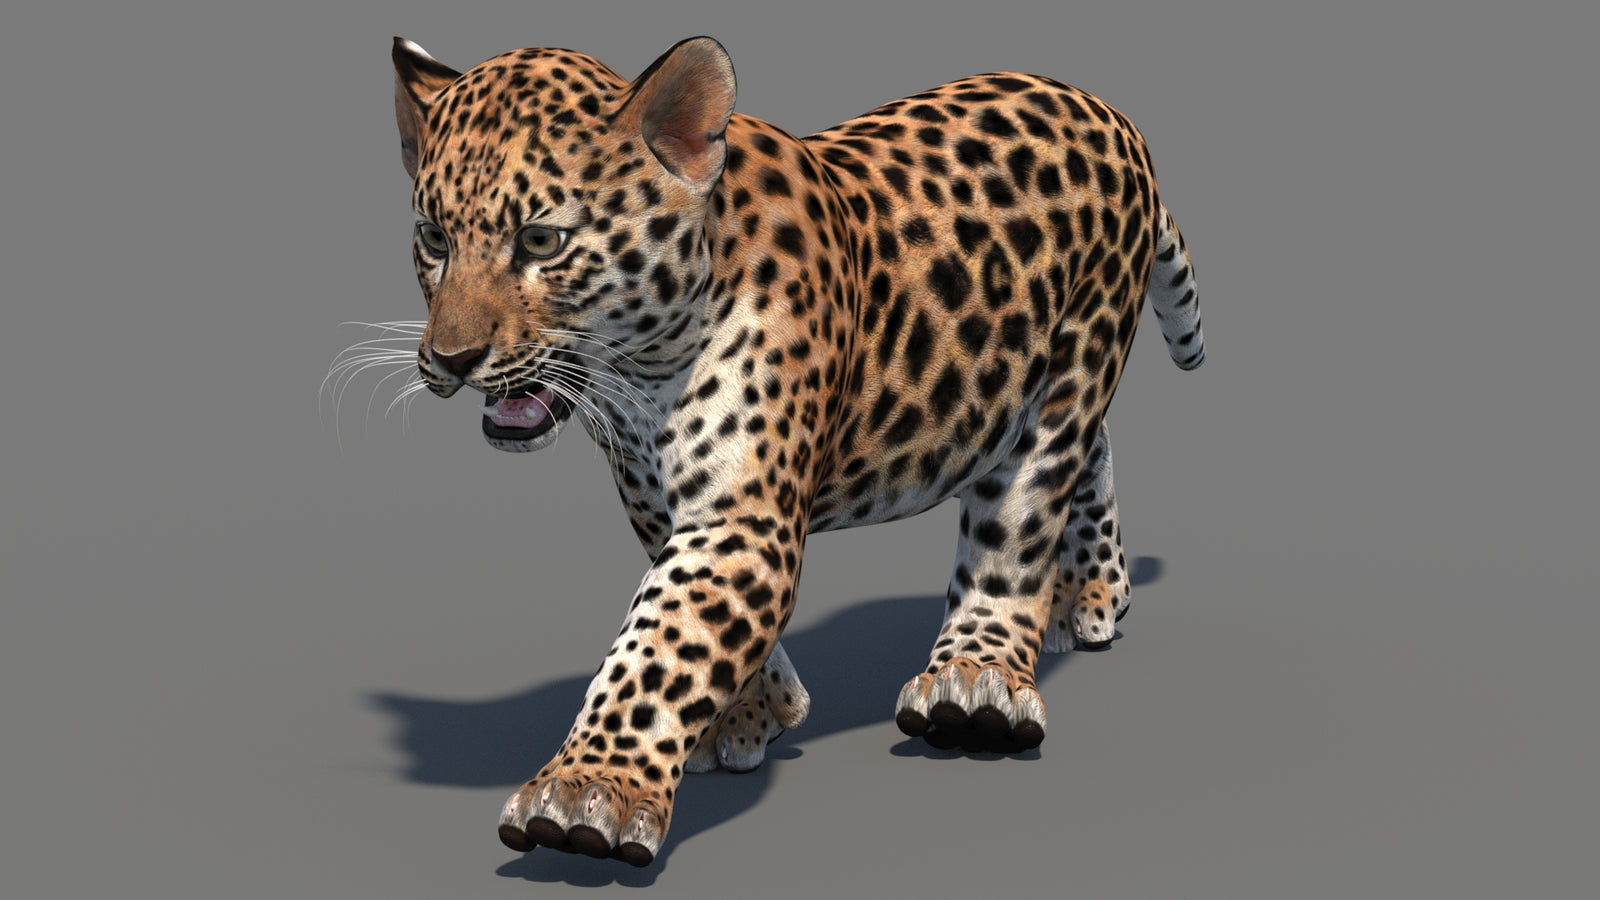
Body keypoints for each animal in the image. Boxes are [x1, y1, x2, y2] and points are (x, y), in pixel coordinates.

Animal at [383, 34, 1205, 867]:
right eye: (434, 240)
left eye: (541, 240)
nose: (450, 360)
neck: (641, 373)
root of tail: (1103, 108)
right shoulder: (657, 497)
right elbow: (696, 619)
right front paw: (754, 713)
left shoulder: (742, 518)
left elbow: (659, 645)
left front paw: (590, 788)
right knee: (1092, 452)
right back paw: (1088, 593)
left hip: (1075, 357)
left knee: (1024, 511)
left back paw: (980, 677)